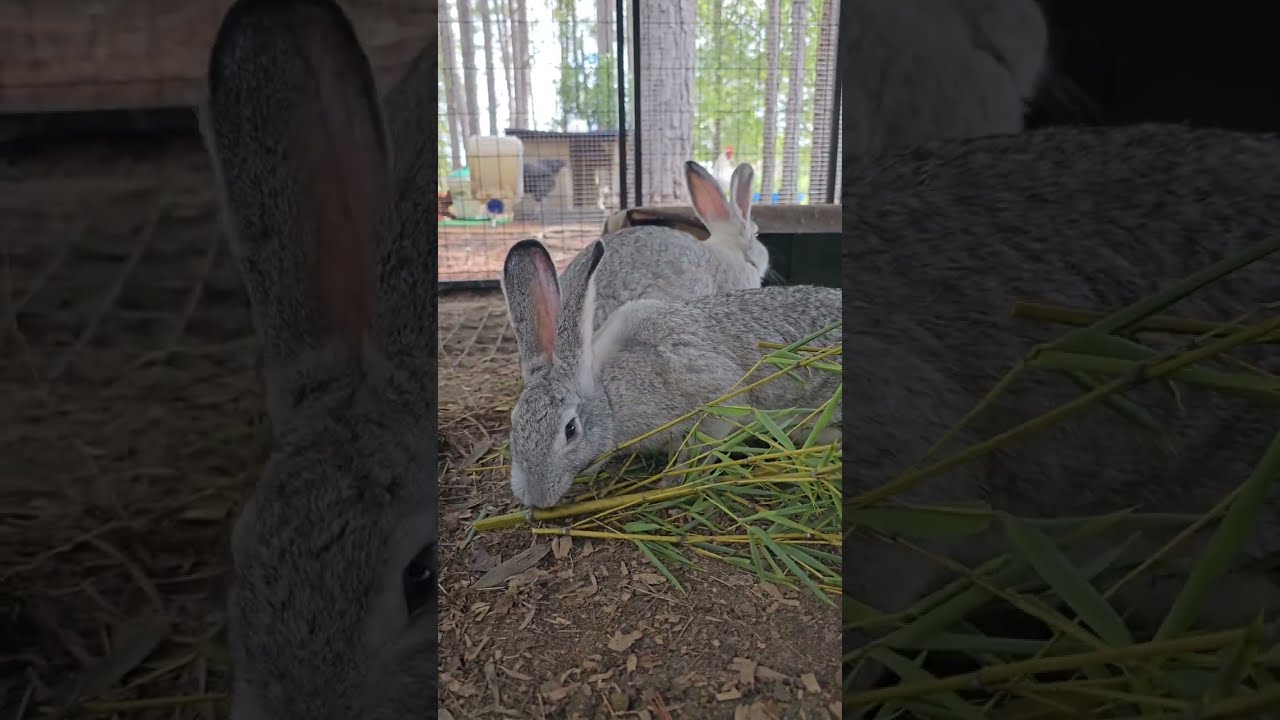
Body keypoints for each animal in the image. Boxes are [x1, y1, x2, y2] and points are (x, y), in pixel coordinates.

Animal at [500, 238, 841, 509]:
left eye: (570, 429)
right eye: (514, 422)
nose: (535, 498)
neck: (610, 396)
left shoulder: (715, 396)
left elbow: (707, 440)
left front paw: (671, 482)